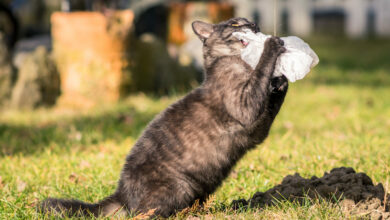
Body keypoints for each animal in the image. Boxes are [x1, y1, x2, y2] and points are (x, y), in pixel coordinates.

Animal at [39, 17, 288, 218]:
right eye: (236, 24)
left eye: (249, 22)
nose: (254, 25)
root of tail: (121, 194)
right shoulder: (247, 108)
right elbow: (261, 74)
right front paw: (273, 46)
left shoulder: (259, 128)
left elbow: (273, 100)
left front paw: (281, 80)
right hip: (179, 186)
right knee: (145, 214)